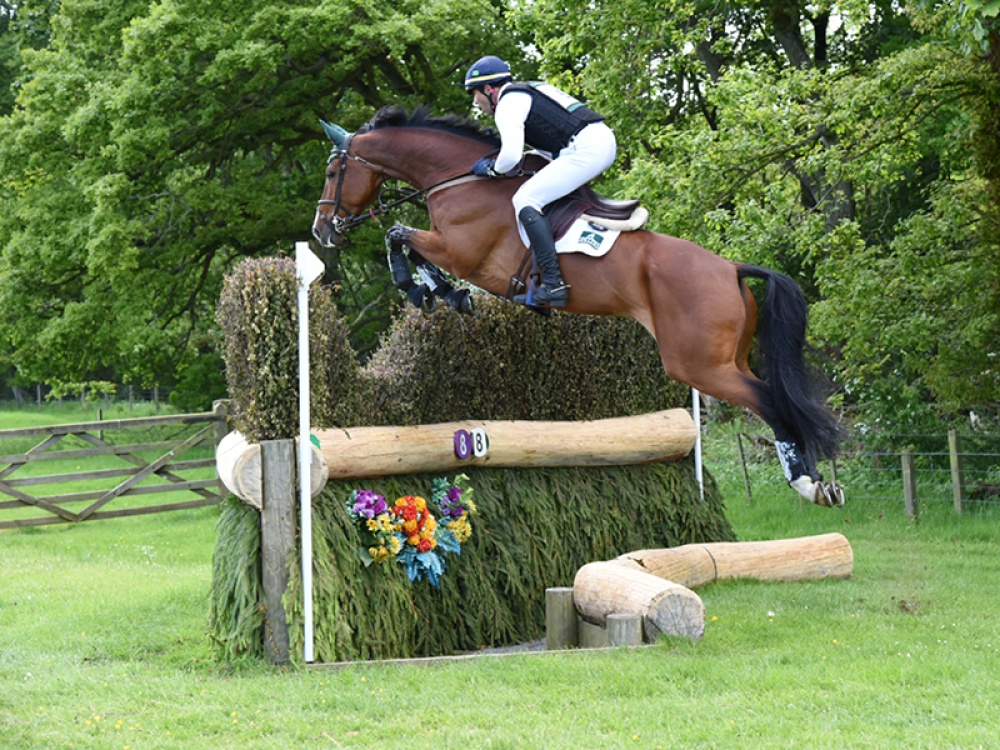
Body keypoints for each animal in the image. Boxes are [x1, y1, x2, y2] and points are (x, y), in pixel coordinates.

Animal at [312, 105, 844, 507]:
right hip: (726, 357)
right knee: (772, 394)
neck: (457, 179)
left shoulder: (462, 252)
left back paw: (806, 483)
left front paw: (429, 289)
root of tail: (730, 267)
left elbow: (397, 235)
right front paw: (441, 292)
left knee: (769, 400)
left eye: (335, 171)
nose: (321, 231)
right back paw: (822, 483)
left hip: (697, 365)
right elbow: (402, 239)